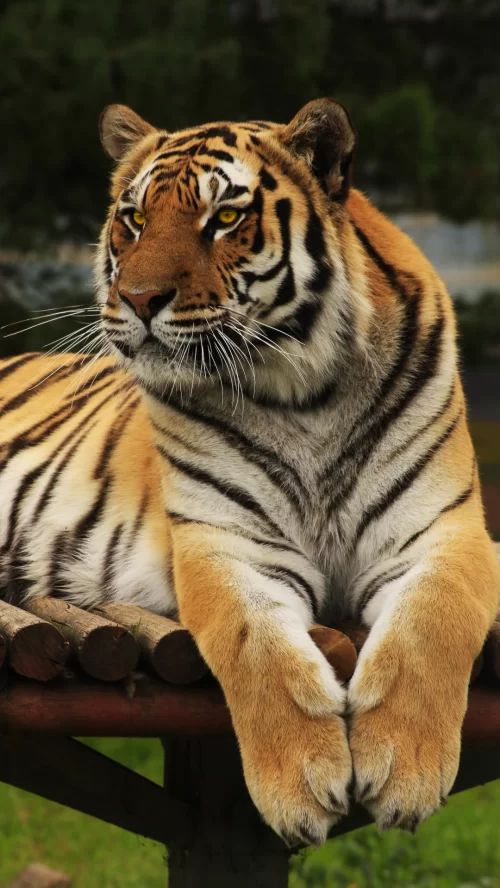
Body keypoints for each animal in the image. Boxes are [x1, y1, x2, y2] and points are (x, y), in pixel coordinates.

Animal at [1, 98, 499, 848]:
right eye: (134, 218)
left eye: (225, 218)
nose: (138, 298)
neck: (308, 395)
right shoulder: (227, 545)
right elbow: (257, 648)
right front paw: (301, 784)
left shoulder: (443, 532)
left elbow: (430, 625)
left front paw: (404, 769)